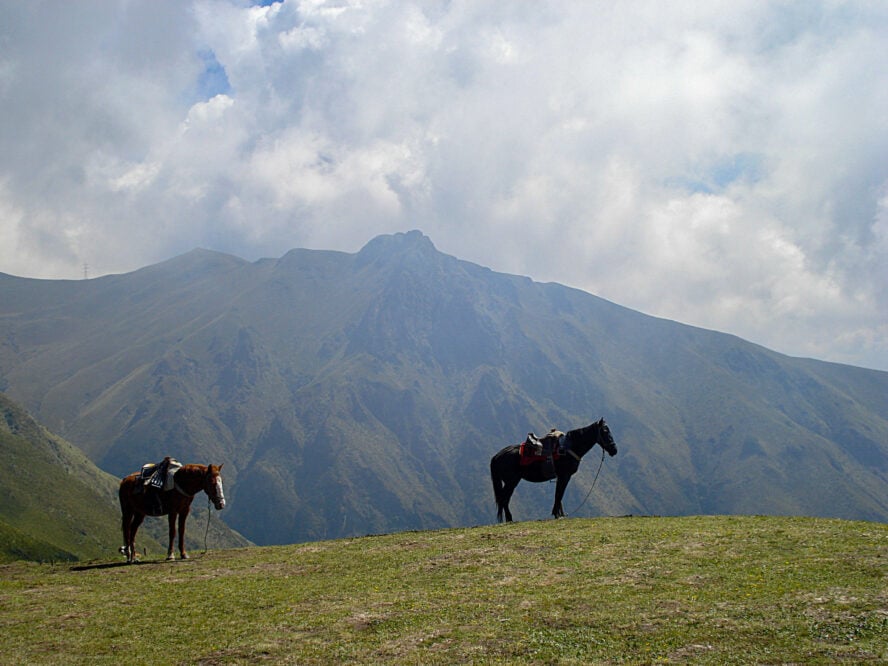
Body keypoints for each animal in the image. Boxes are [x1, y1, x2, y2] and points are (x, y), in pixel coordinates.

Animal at [486, 418, 616, 520]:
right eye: (605, 431)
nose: (614, 450)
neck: (569, 447)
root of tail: (497, 456)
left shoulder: (560, 477)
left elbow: (558, 494)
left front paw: (558, 514)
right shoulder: (565, 476)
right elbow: (559, 494)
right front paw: (557, 514)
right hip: (511, 482)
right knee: (504, 499)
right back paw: (509, 519)